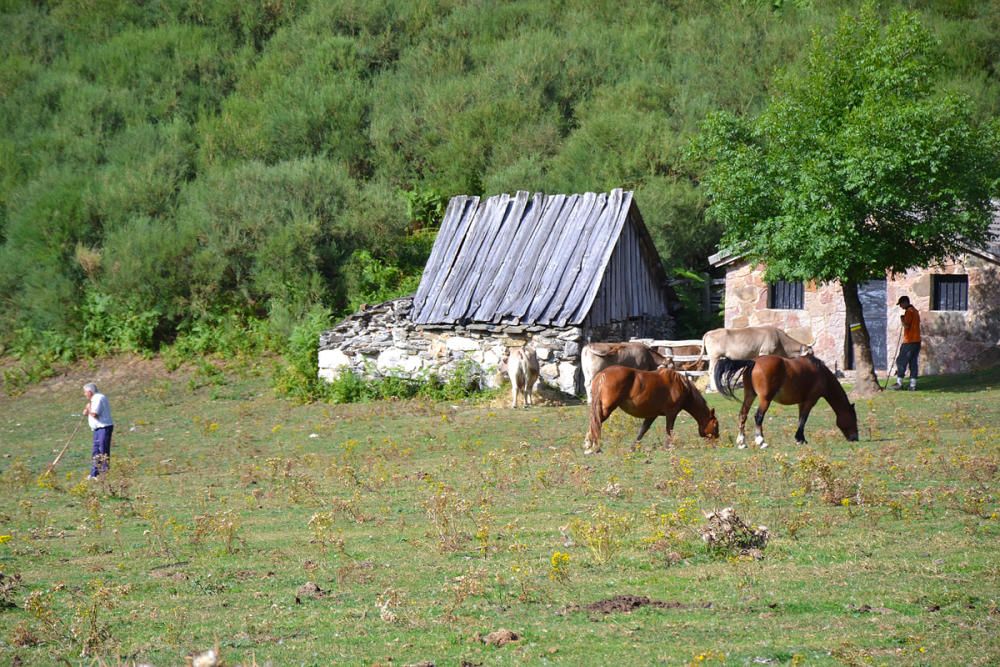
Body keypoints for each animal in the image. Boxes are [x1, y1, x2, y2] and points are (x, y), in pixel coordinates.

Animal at [584, 366, 720, 454]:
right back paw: (594, 446)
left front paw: (633, 447)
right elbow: (669, 429)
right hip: (606, 409)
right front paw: (669, 446)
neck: (682, 386)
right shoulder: (671, 413)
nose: (716, 443)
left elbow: (642, 431)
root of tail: (603, 374)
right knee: (595, 423)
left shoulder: (651, 415)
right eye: (715, 425)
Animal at [712, 354, 860, 448]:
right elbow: (803, 419)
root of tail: (754, 362)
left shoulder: (802, 402)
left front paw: (800, 439)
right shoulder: (810, 401)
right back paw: (761, 441)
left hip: (750, 395)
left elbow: (800, 419)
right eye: (853, 418)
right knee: (758, 416)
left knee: (743, 415)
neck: (821, 373)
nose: (855, 438)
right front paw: (800, 439)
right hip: (765, 399)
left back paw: (742, 442)